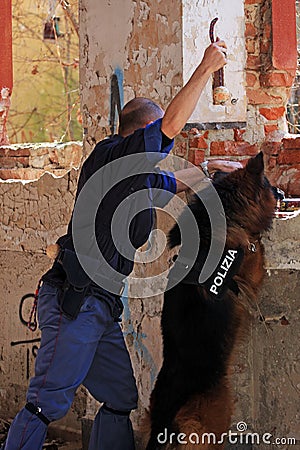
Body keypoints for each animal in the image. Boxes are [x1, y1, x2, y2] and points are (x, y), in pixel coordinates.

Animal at [145, 153, 276, 448]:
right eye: (270, 186)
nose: (282, 193)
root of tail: (167, 414)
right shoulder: (250, 272)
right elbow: (256, 250)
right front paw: (258, 240)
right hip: (215, 419)